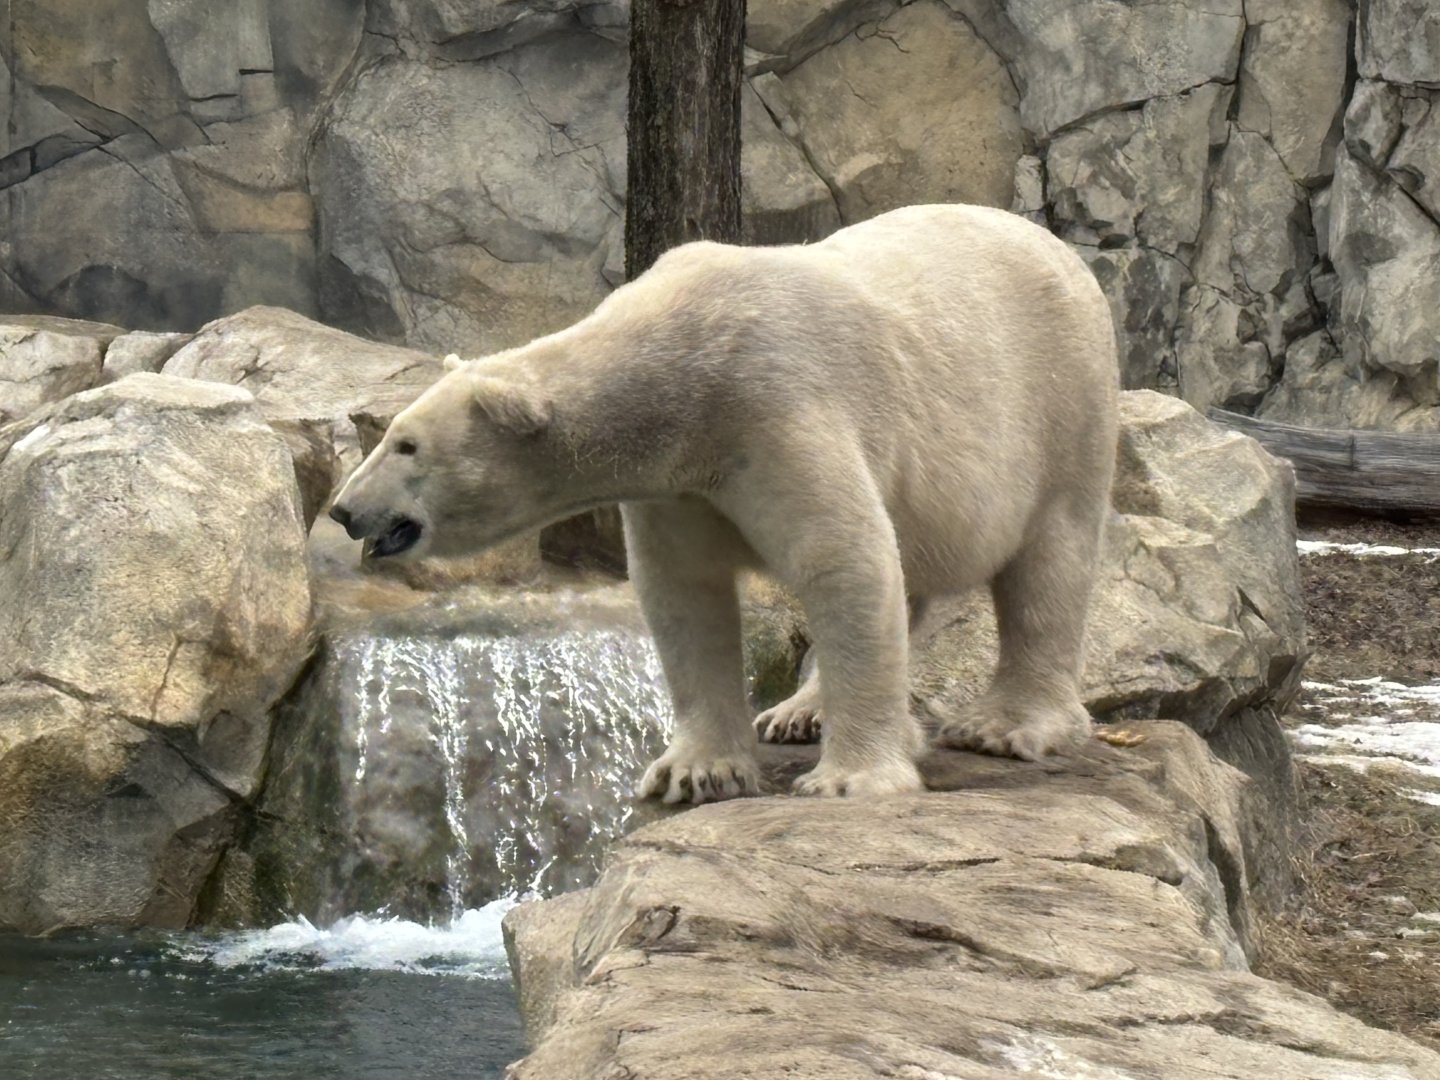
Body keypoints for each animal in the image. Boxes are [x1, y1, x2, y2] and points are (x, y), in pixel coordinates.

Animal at [329, 203, 1119, 803]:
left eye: (404, 444)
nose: (342, 509)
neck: (677, 364)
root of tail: (1061, 250)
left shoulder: (776, 402)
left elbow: (842, 561)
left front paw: (849, 779)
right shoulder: (677, 481)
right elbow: (685, 592)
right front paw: (693, 772)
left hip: (1062, 400)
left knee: (1050, 562)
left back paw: (1004, 725)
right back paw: (797, 711)